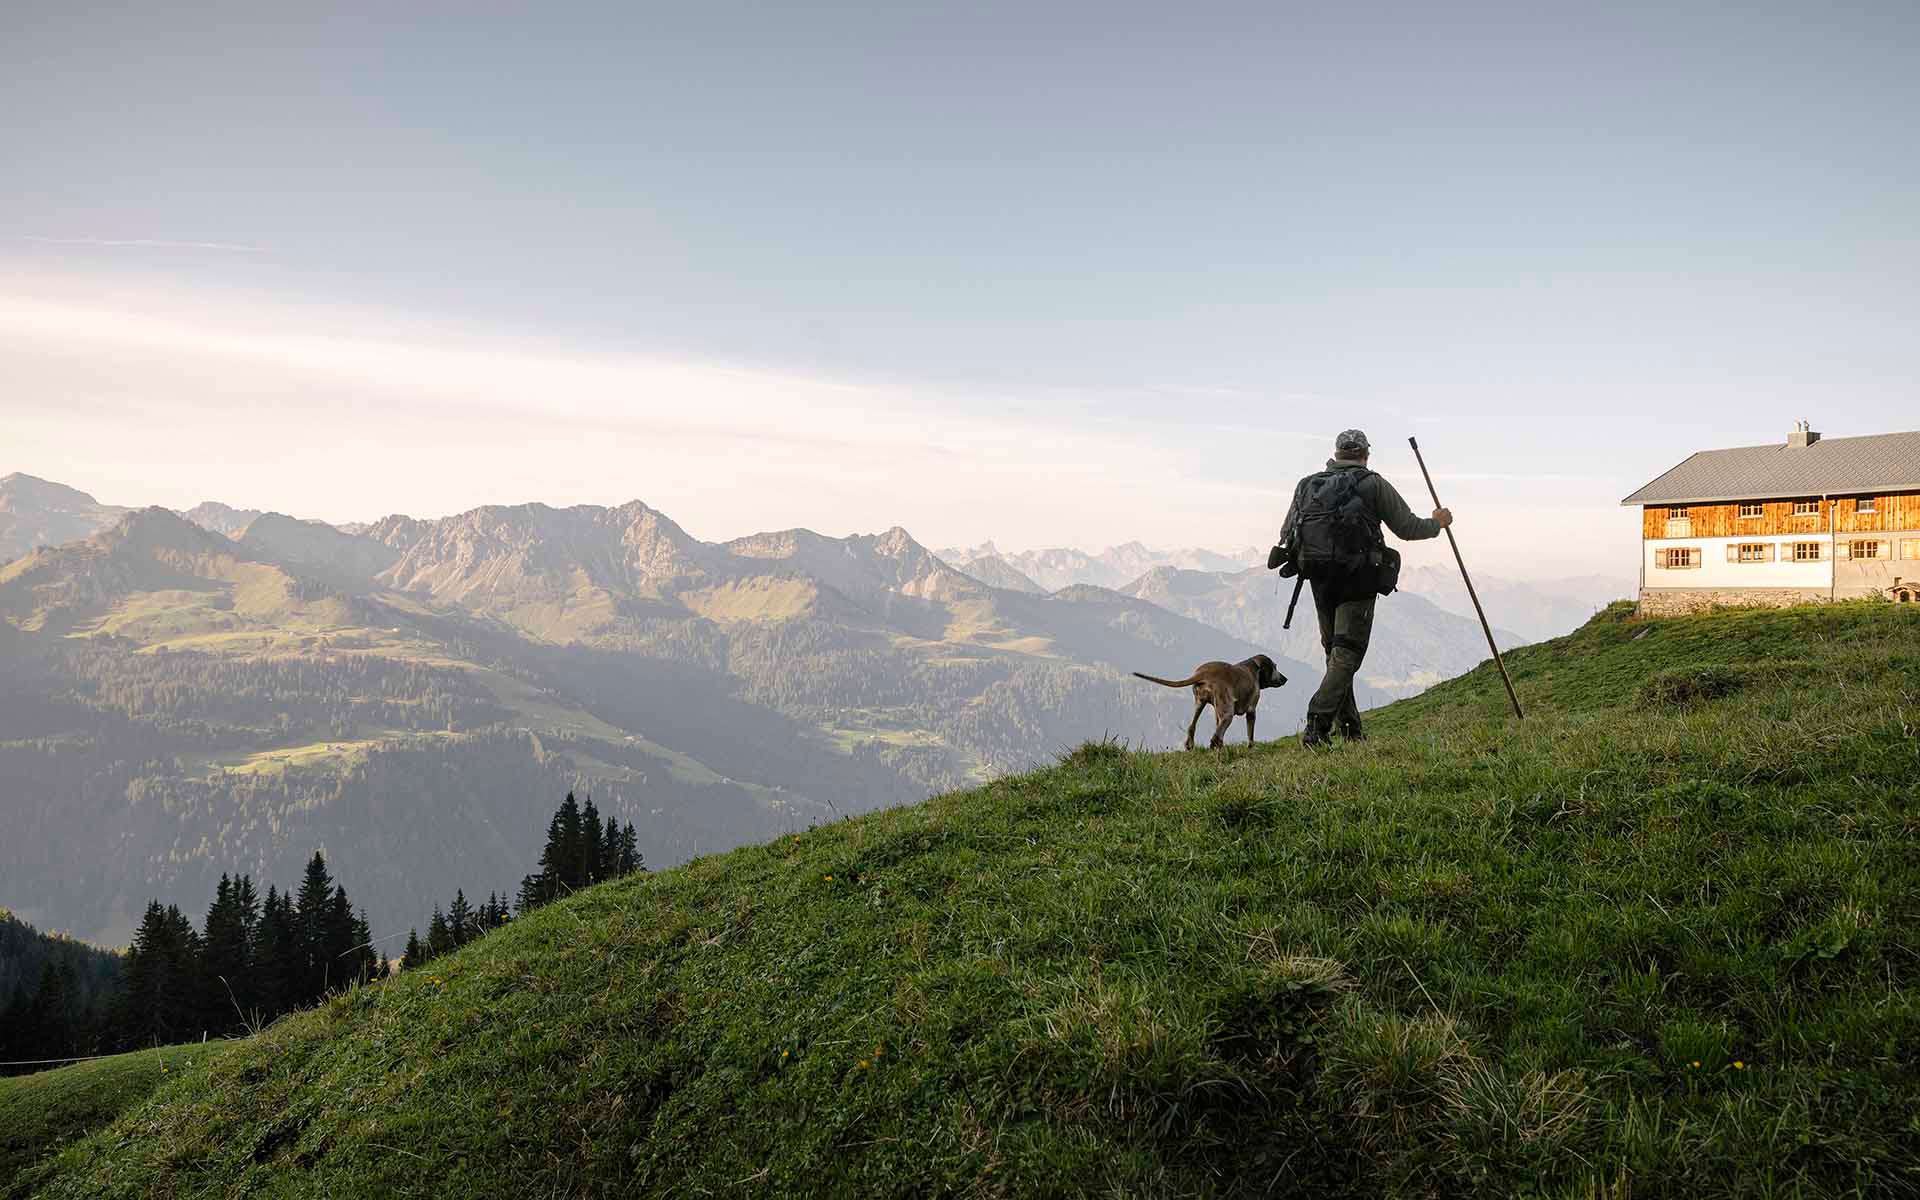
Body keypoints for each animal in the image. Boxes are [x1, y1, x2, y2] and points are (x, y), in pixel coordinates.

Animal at [1128, 656, 1282, 748]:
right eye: (1275, 667)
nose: (1285, 678)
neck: (1253, 666)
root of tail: (1204, 673)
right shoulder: (1251, 709)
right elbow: (1250, 732)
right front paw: (1251, 747)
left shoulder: (1217, 711)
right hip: (1227, 711)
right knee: (1216, 735)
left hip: (1200, 702)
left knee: (1193, 725)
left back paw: (1192, 744)